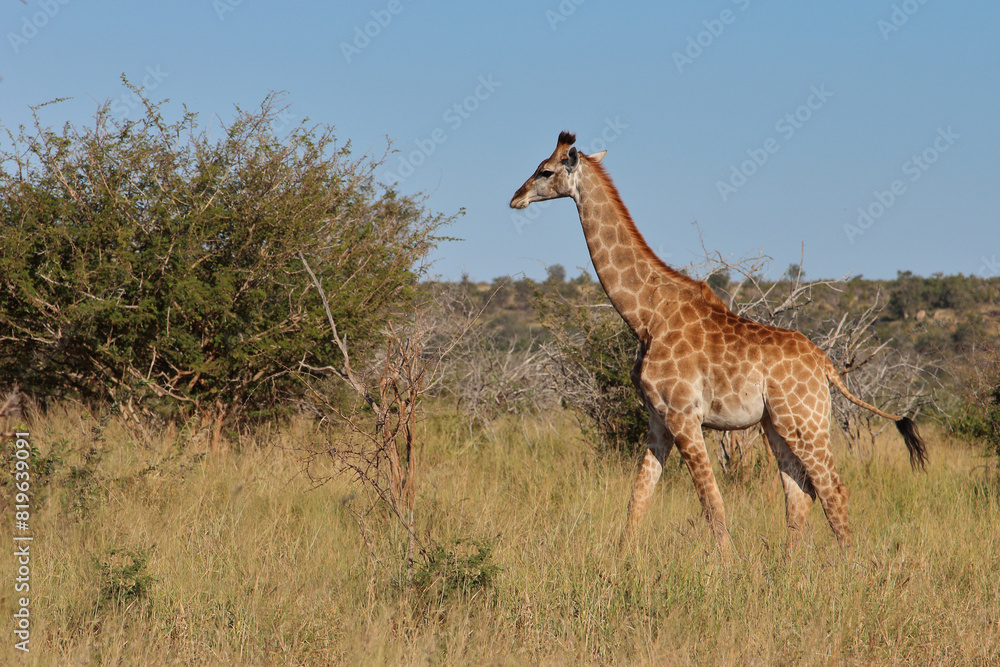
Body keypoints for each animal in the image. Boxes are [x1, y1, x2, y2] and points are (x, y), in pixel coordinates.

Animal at [510, 132, 927, 555]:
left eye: (545, 171)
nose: (516, 198)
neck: (646, 317)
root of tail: (825, 364)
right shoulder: (658, 420)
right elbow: (638, 499)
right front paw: (619, 560)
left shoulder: (684, 416)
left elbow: (712, 501)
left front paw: (726, 566)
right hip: (776, 424)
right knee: (799, 492)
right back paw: (789, 565)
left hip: (805, 421)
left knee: (833, 489)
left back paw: (848, 564)